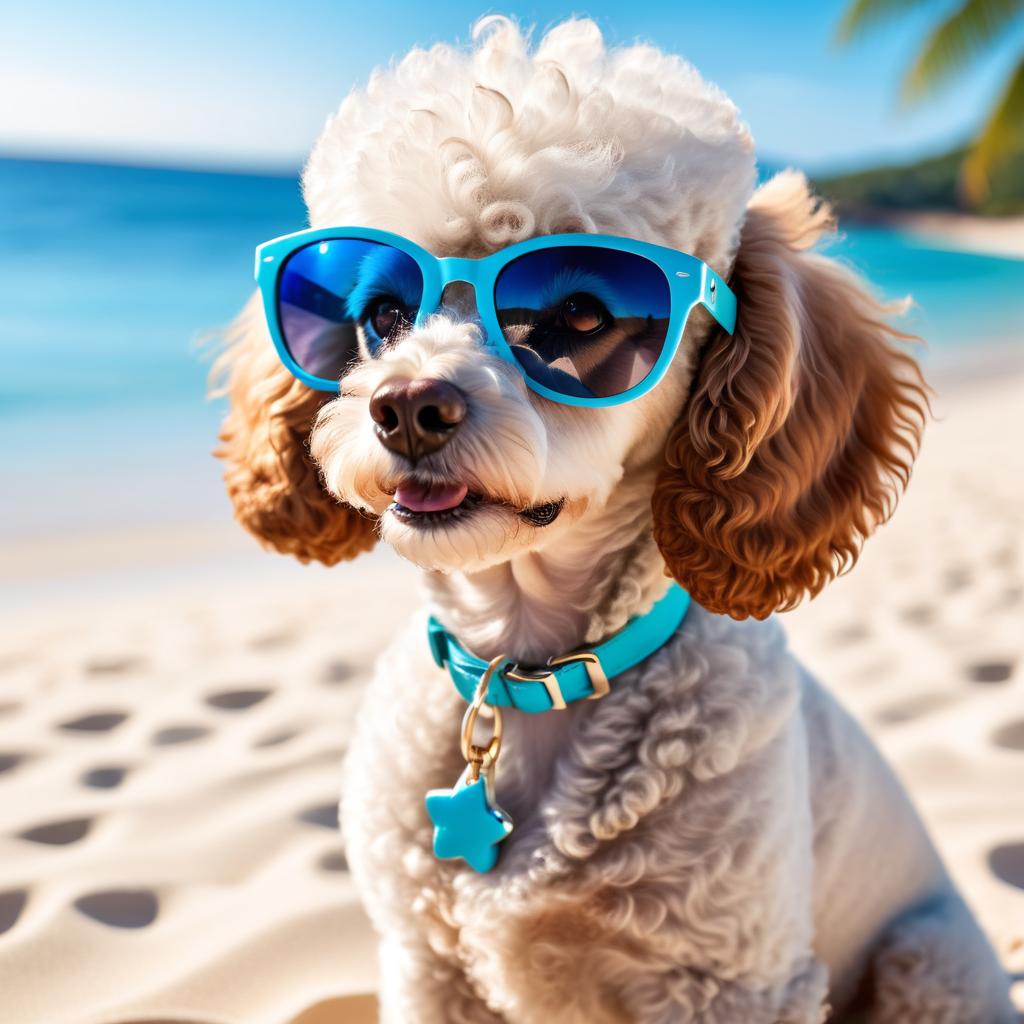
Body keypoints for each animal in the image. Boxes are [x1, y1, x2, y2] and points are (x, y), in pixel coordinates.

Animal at [214, 16, 1015, 1024]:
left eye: (582, 314)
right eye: (383, 314)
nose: (406, 407)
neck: (525, 673)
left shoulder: (735, 984)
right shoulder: (424, 961)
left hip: (928, 958)